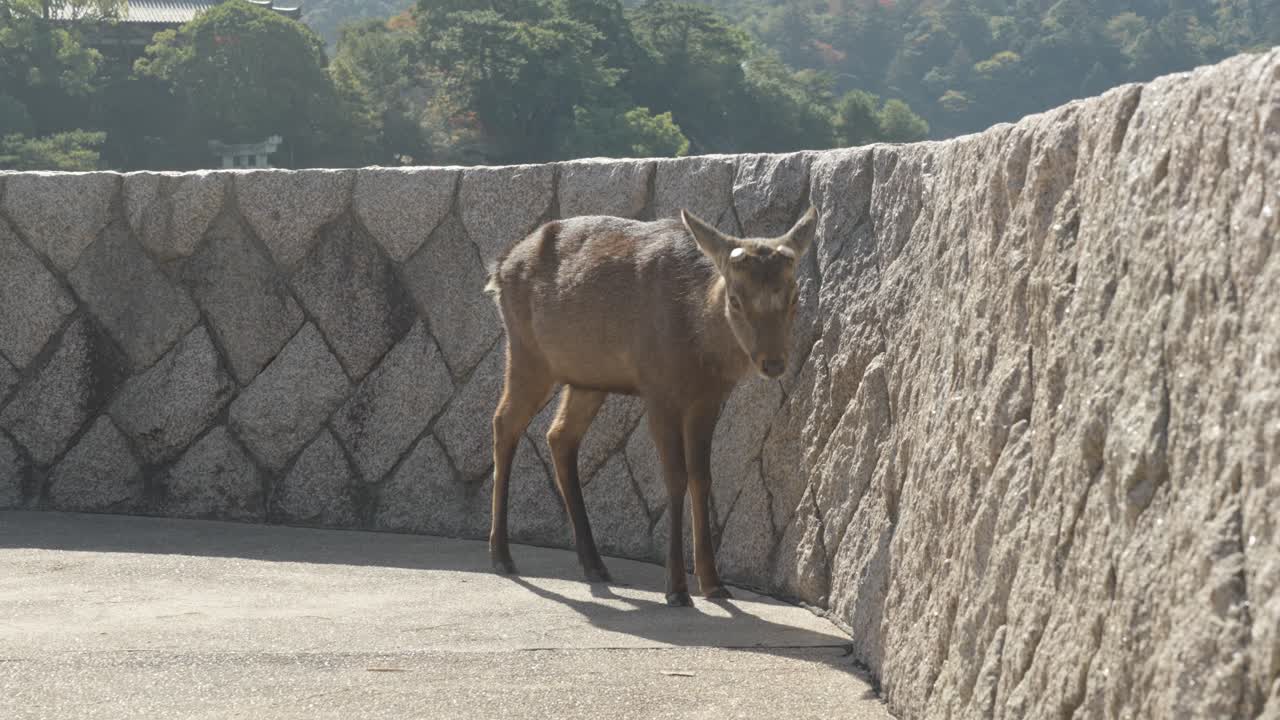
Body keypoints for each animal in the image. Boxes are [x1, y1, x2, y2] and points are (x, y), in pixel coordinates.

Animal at [485, 204, 817, 606]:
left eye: (794, 295)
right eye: (736, 299)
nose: (773, 363)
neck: (698, 345)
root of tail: (499, 268)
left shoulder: (708, 399)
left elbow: (702, 478)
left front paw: (713, 583)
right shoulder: (658, 389)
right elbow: (675, 478)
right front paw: (676, 589)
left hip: (587, 378)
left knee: (559, 436)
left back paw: (593, 563)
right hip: (527, 352)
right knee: (505, 422)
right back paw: (501, 554)